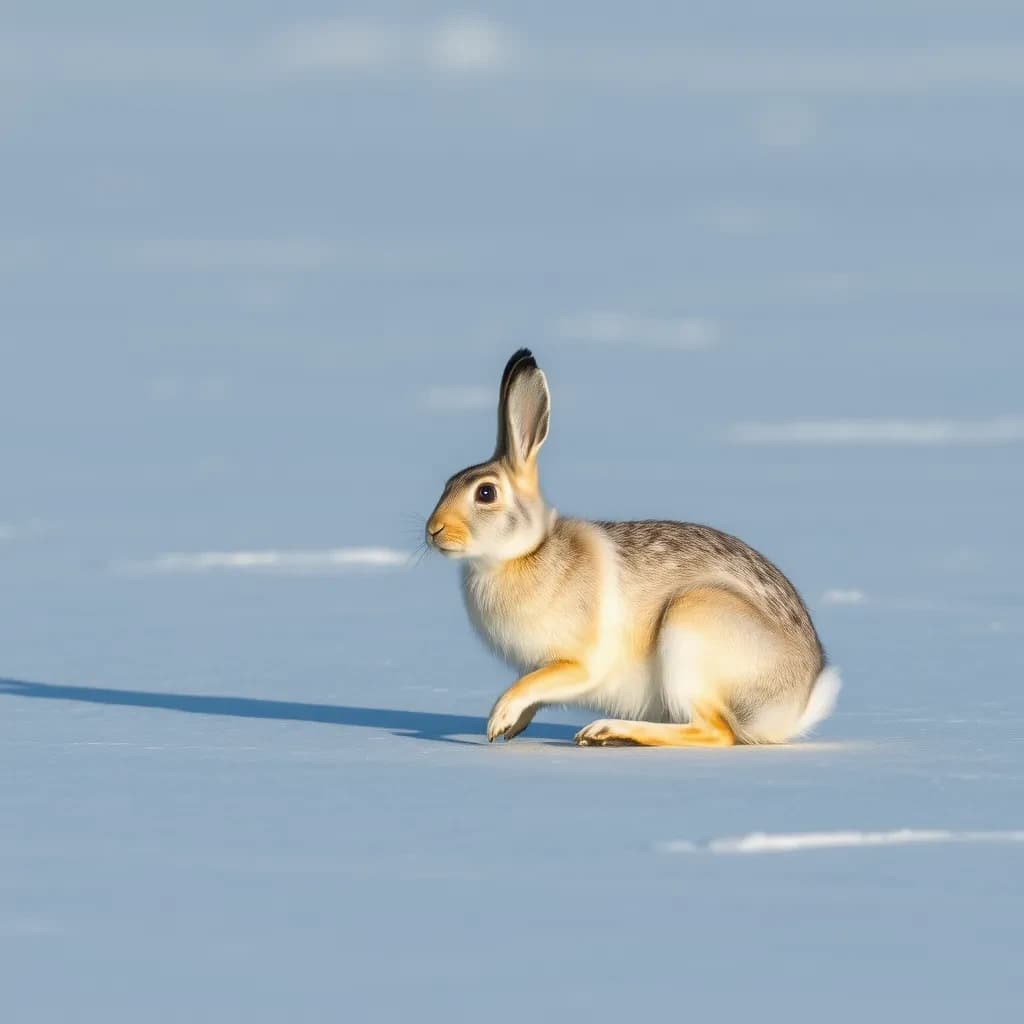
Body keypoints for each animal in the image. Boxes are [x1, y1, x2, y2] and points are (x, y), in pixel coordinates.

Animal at [425, 348, 839, 746]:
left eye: (486, 493)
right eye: (448, 483)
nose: (433, 531)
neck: (527, 552)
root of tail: (792, 707)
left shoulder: (578, 665)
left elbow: (534, 683)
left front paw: (499, 718)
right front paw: (513, 726)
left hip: (693, 626)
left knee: (715, 732)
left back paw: (606, 731)